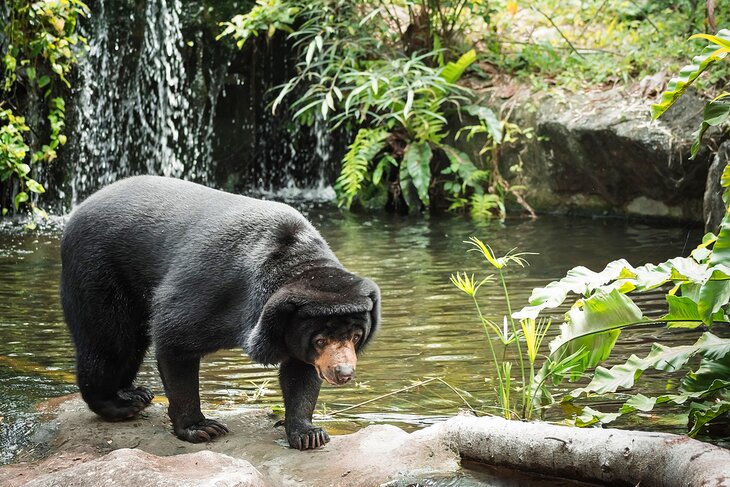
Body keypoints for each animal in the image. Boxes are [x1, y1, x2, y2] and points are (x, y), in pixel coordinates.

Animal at [59, 175, 378, 450]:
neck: (293, 262)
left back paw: (134, 392)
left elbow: (300, 371)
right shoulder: (213, 288)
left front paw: (308, 433)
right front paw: (200, 428)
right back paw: (118, 404)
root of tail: (81, 207)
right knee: (109, 339)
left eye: (355, 336)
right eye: (321, 340)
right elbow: (175, 336)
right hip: (96, 270)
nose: (343, 373)